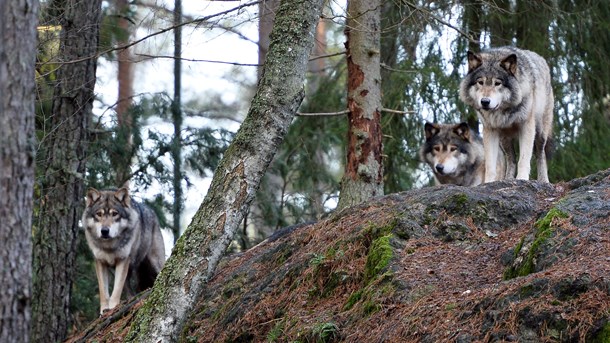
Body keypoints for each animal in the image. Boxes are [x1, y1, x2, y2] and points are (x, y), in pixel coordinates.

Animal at [458, 47, 552, 185]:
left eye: (497, 83)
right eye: (480, 82)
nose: (485, 101)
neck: (503, 110)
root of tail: (541, 58)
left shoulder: (526, 126)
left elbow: (524, 159)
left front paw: (522, 179)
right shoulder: (490, 130)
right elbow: (490, 165)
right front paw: (488, 183)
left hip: (540, 132)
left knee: (540, 154)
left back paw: (544, 180)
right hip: (504, 140)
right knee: (511, 158)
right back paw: (508, 179)